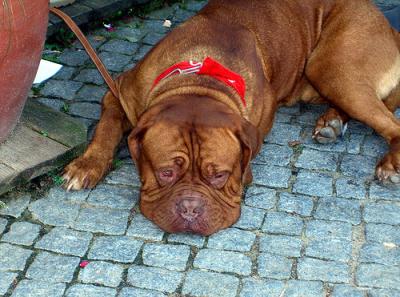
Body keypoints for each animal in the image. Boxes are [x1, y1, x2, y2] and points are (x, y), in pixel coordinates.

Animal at [62, 0, 400, 236]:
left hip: (331, 67)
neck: (200, 80)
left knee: (390, 121)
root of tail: (390, 27)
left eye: (219, 175)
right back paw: (331, 122)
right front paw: (87, 165)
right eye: (166, 172)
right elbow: (106, 128)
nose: (190, 209)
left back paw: (389, 164)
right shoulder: (119, 92)